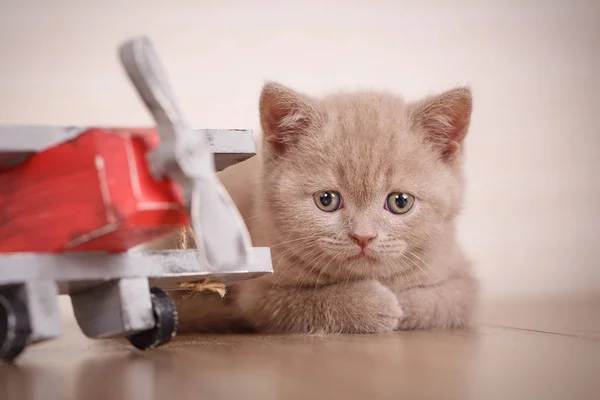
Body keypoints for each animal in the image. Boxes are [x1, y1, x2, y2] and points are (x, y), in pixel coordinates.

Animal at [172, 82, 478, 334]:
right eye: (327, 200)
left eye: (400, 202)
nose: (363, 237)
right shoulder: (259, 294)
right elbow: (307, 302)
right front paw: (374, 303)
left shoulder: (463, 278)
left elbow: (443, 301)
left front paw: (401, 302)